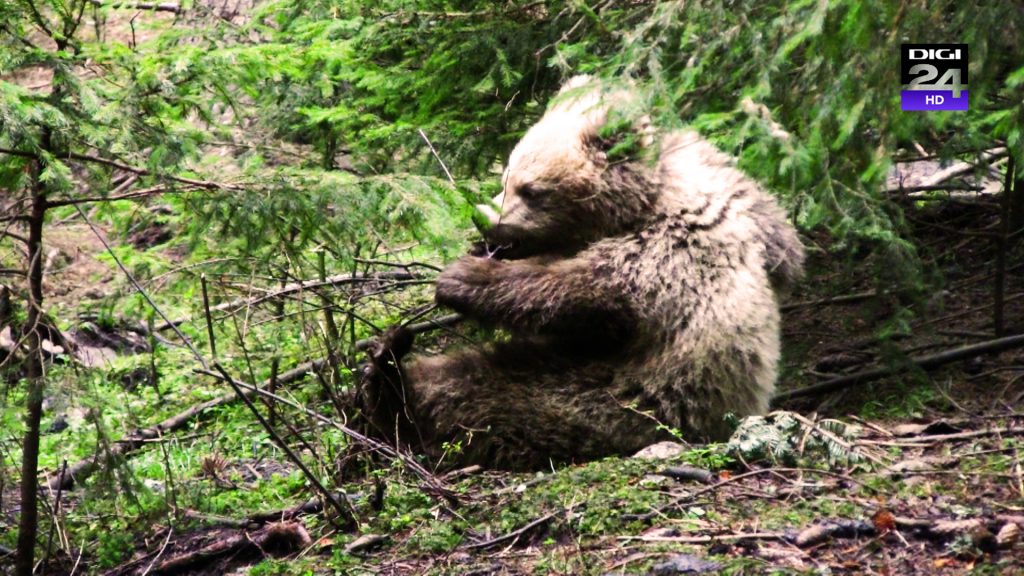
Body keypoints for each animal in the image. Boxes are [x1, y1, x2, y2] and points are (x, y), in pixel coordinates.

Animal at [360, 76, 798, 469]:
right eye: (505, 176)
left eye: (531, 190)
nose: (485, 220)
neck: (638, 203)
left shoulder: (673, 248)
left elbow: (591, 291)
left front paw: (464, 277)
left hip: (622, 397)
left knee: (479, 395)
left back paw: (391, 388)